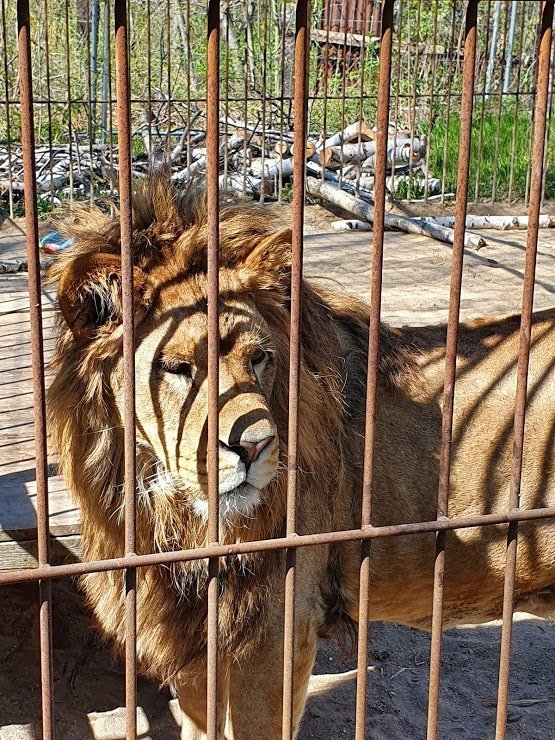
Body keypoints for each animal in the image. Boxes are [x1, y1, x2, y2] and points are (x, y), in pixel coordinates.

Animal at [47, 181, 555, 740]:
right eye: (177, 368)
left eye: (259, 358)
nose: (254, 446)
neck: (168, 515)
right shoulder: (199, 640)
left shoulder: (276, 637)